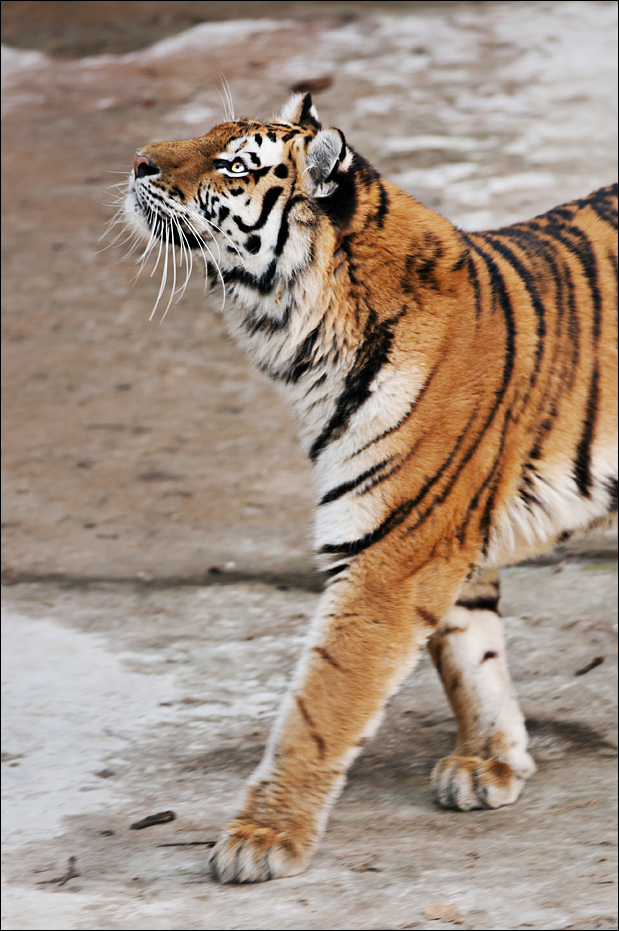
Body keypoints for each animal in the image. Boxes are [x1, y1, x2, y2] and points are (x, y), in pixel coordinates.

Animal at [123, 91, 618, 883]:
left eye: (233, 163)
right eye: (207, 132)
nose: (138, 159)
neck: (301, 338)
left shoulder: (393, 549)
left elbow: (320, 702)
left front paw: (262, 836)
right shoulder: (444, 539)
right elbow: (470, 656)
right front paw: (489, 761)